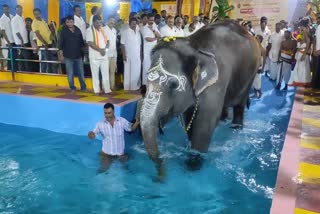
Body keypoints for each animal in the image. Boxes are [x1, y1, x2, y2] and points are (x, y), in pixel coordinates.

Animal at [139, 20, 260, 179]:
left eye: (173, 84)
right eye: (147, 81)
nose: (160, 177)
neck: (193, 46)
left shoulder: (216, 83)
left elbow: (205, 124)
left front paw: (192, 165)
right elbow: (190, 118)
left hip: (251, 75)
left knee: (240, 105)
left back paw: (236, 128)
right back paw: (223, 120)